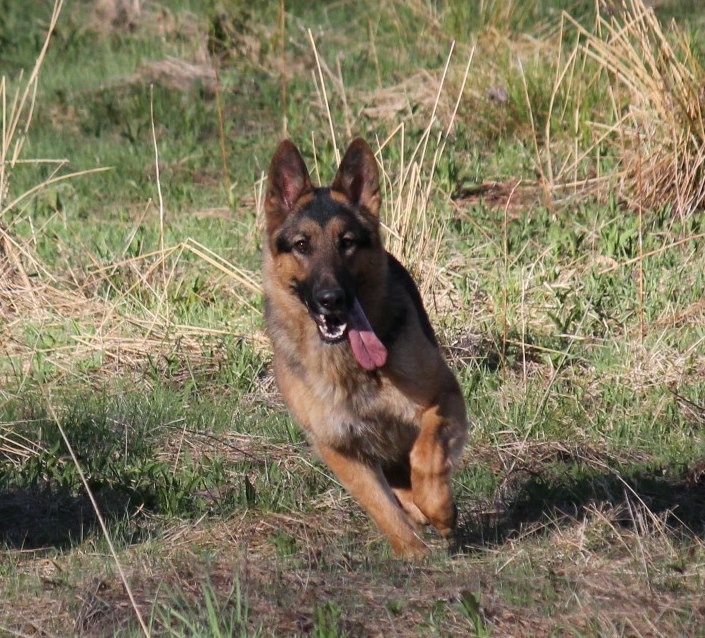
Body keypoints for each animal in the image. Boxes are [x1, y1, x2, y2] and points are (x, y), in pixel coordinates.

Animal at [264, 138, 468, 556]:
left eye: (347, 243)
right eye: (302, 245)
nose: (332, 300)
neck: (347, 365)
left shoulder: (443, 398)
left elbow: (426, 456)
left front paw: (440, 510)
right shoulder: (339, 448)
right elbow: (380, 507)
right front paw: (413, 555)